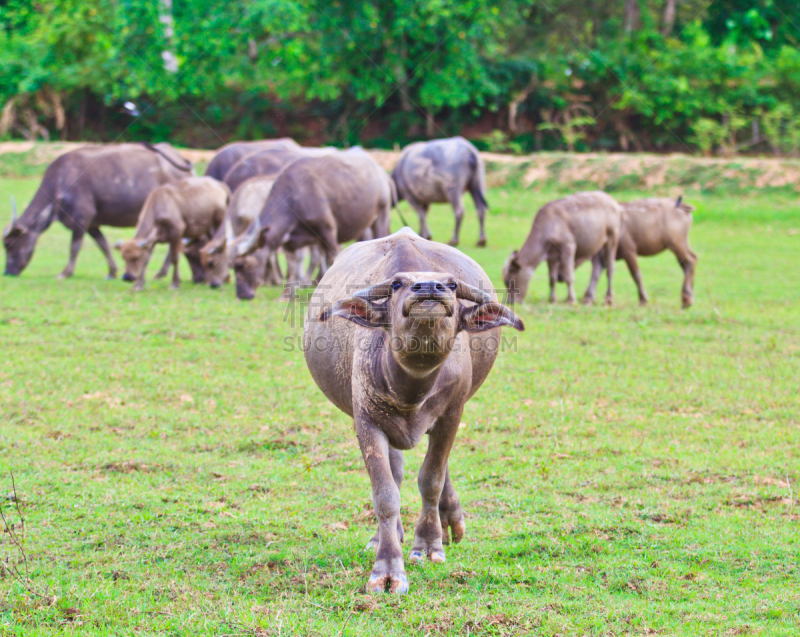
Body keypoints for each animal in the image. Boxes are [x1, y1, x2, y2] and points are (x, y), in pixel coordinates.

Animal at [2, 144, 192, 278]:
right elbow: (103, 245)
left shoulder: (81, 218)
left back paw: (161, 272)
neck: (60, 183)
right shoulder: (92, 224)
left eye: (10, 244)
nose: (7, 272)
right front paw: (112, 272)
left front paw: (65, 272)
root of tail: (183, 162)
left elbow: (75, 247)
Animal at [231, 150, 394, 300]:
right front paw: (286, 295)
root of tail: (381, 172)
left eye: (240, 265)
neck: (294, 199)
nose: (241, 295)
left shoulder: (328, 232)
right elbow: (291, 268)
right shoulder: (289, 244)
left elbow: (332, 261)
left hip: (382, 215)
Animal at [306, 227, 524, 592]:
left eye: (452, 285)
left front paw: (429, 545)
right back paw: (385, 536)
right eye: (396, 285)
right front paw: (387, 566)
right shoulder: (366, 421)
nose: (429, 288)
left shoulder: (452, 415)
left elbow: (431, 478)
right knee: (396, 472)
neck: (412, 387)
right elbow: (385, 494)